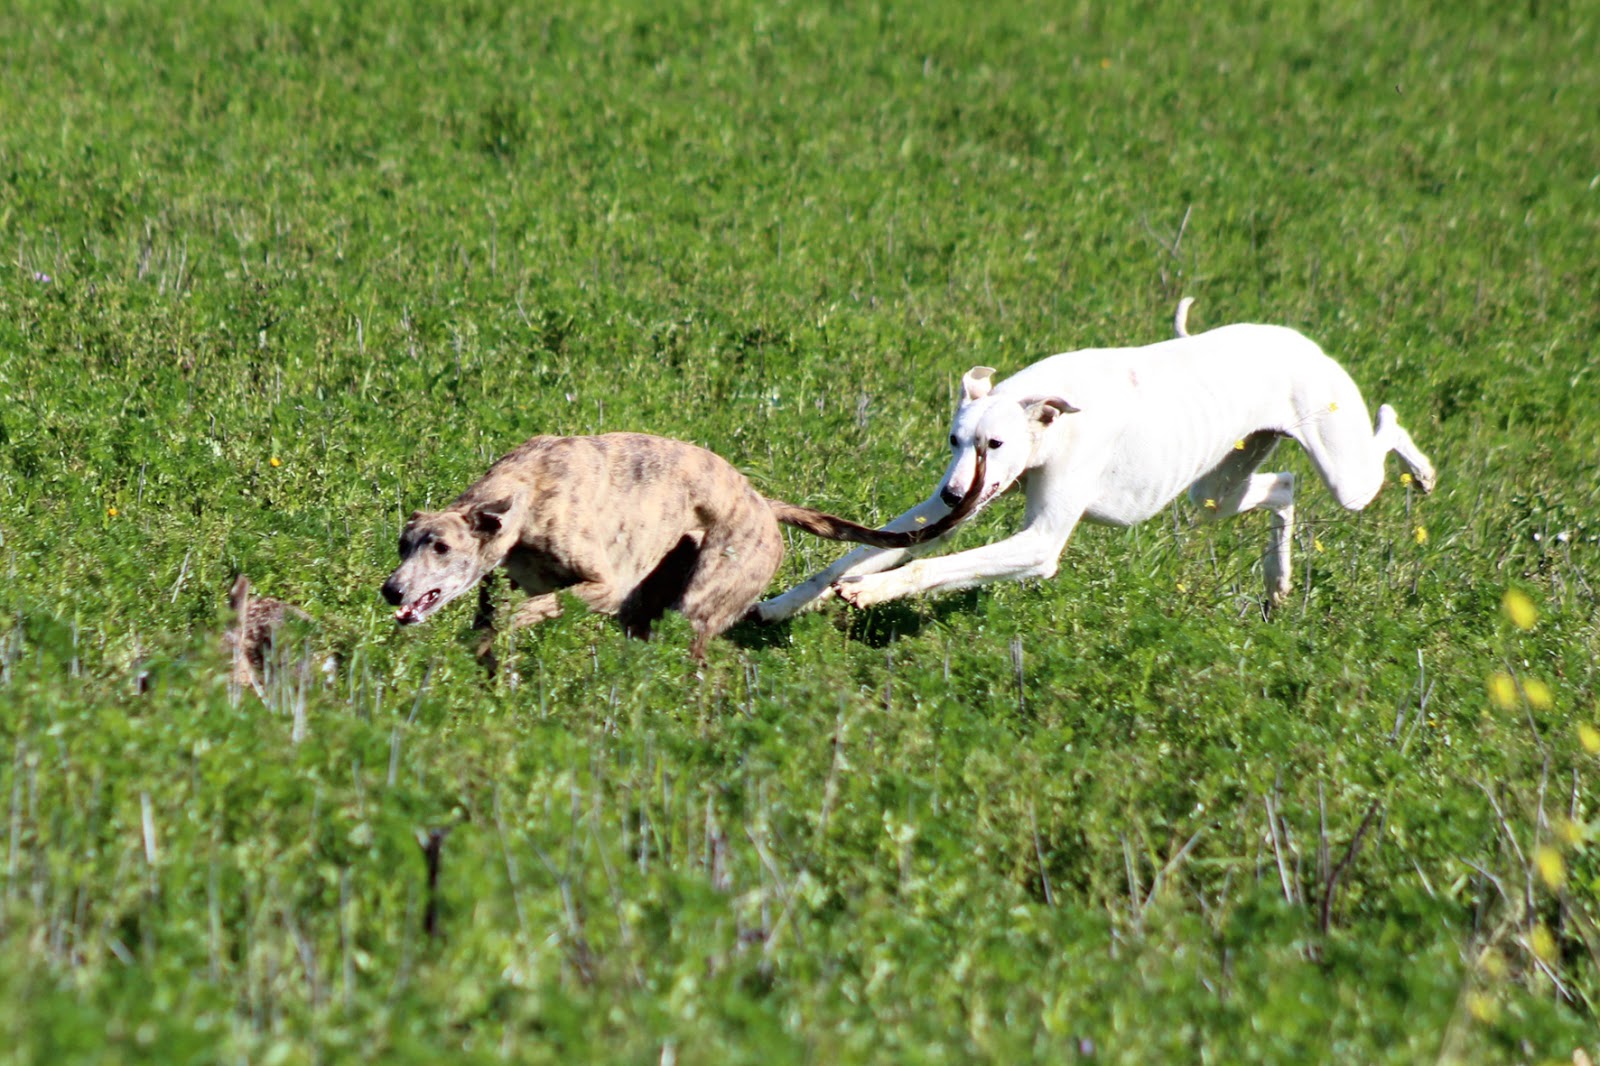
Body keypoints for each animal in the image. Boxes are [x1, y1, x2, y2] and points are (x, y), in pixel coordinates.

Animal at [380, 432, 984, 659]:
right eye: (404, 544)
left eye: (439, 548)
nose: (390, 591)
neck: (524, 493)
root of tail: (764, 504)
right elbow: (494, 616)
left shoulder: (605, 586)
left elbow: (528, 610)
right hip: (653, 608)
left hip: (701, 600)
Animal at [754, 303, 1436, 619]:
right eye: (953, 440)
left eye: (994, 445)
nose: (950, 497)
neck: (1049, 419)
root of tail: (1302, 341)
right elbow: (866, 552)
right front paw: (783, 604)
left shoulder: (1039, 545)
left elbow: (932, 565)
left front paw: (872, 590)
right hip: (1218, 490)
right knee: (1286, 486)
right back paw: (1278, 580)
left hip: (1347, 472)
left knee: (1385, 429)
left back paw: (1421, 467)